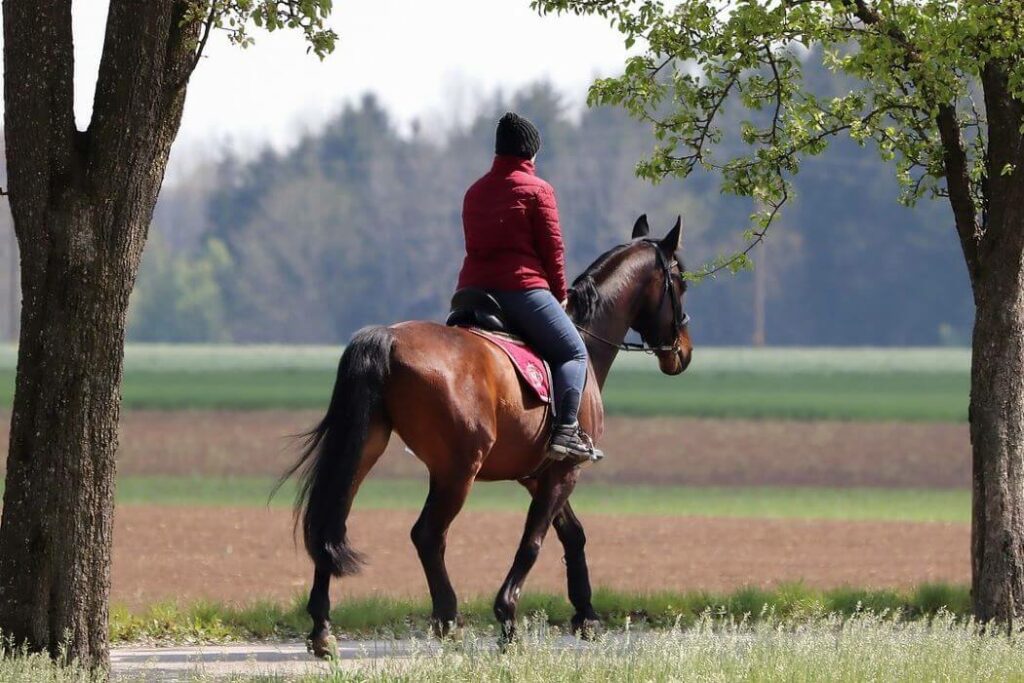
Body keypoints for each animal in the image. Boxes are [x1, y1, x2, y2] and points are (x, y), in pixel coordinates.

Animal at [284, 214, 692, 655]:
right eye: (680, 282)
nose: (683, 352)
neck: (584, 335)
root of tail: (388, 338)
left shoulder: (539, 474)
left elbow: (572, 535)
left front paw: (586, 616)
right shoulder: (564, 471)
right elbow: (533, 542)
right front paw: (508, 618)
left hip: (365, 451)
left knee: (331, 522)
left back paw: (323, 629)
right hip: (457, 471)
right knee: (428, 535)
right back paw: (448, 620)